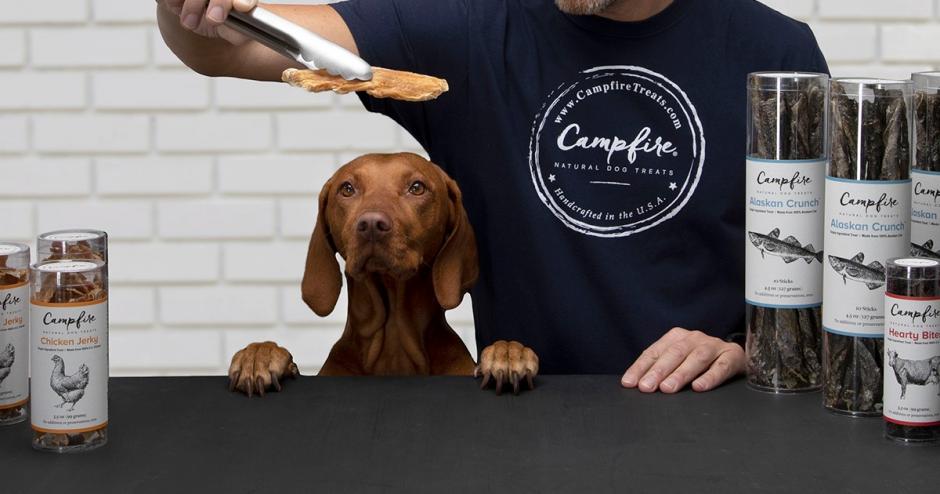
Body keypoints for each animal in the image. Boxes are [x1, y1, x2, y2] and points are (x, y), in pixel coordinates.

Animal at [227, 152, 536, 396]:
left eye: (417, 187)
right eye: (347, 189)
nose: (371, 225)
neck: (393, 347)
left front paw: (508, 352)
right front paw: (261, 354)